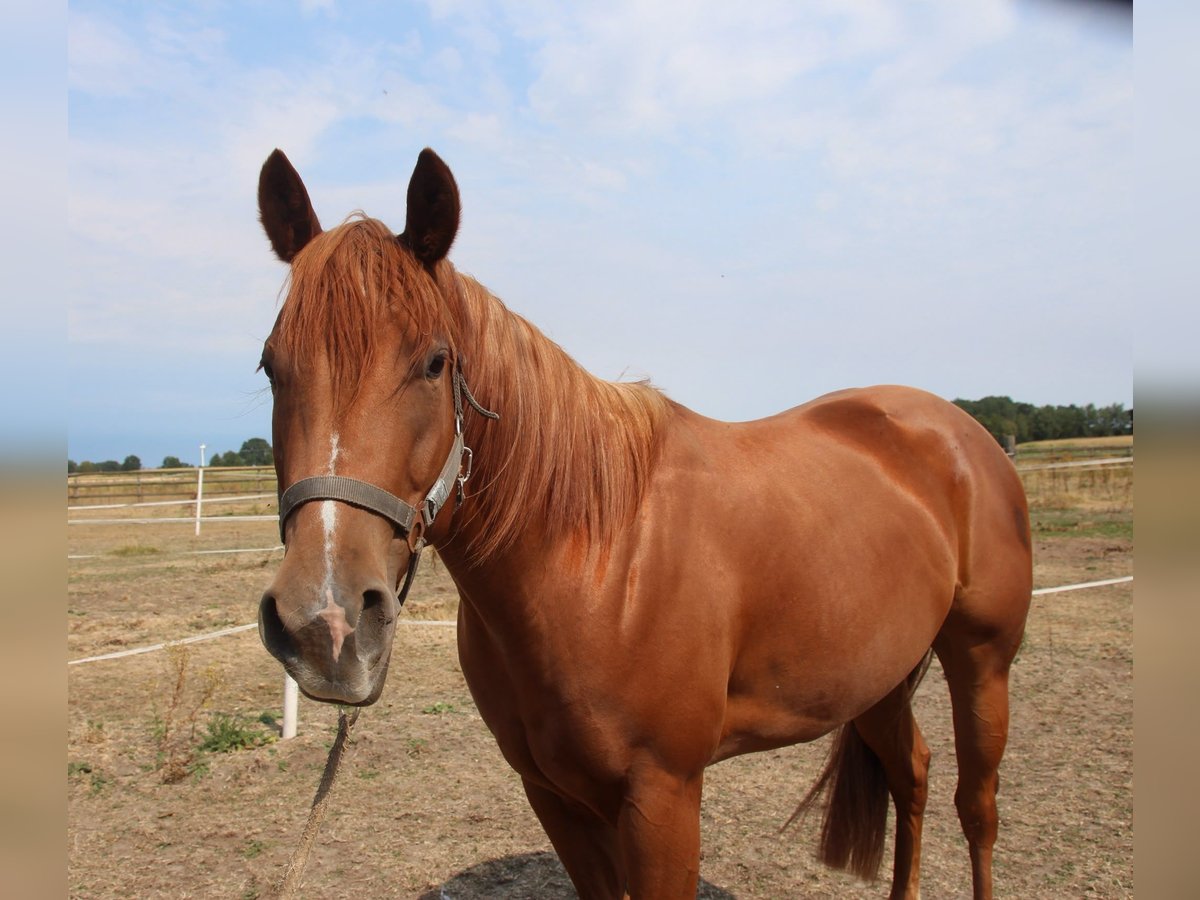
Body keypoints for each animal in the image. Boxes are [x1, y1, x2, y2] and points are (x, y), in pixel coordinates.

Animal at [255, 147, 1032, 900]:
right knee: (913, 774)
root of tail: (961, 432)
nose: (325, 624)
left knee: (977, 808)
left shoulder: (664, 797)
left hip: (981, 661)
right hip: (876, 675)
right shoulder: (555, 796)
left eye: (434, 363)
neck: (595, 558)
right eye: (269, 366)